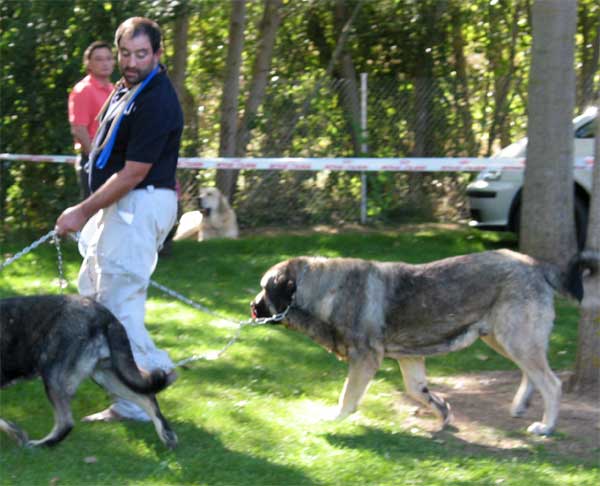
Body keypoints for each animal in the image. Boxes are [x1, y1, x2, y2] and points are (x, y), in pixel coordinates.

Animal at [0, 292, 177, 448]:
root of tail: (104, 315)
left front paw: (15, 432)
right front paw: (14, 431)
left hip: (53, 377)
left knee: (66, 423)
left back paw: (40, 445)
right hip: (106, 376)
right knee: (147, 397)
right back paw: (167, 435)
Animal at [252, 249, 596, 434]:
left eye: (265, 289)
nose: (252, 307)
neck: (320, 291)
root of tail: (535, 264)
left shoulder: (365, 360)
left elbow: (347, 396)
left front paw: (334, 419)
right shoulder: (410, 358)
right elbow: (418, 391)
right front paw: (442, 411)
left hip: (514, 337)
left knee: (551, 382)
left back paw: (546, 426)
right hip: (502, 337)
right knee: (533, 373)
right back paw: (521, 404)